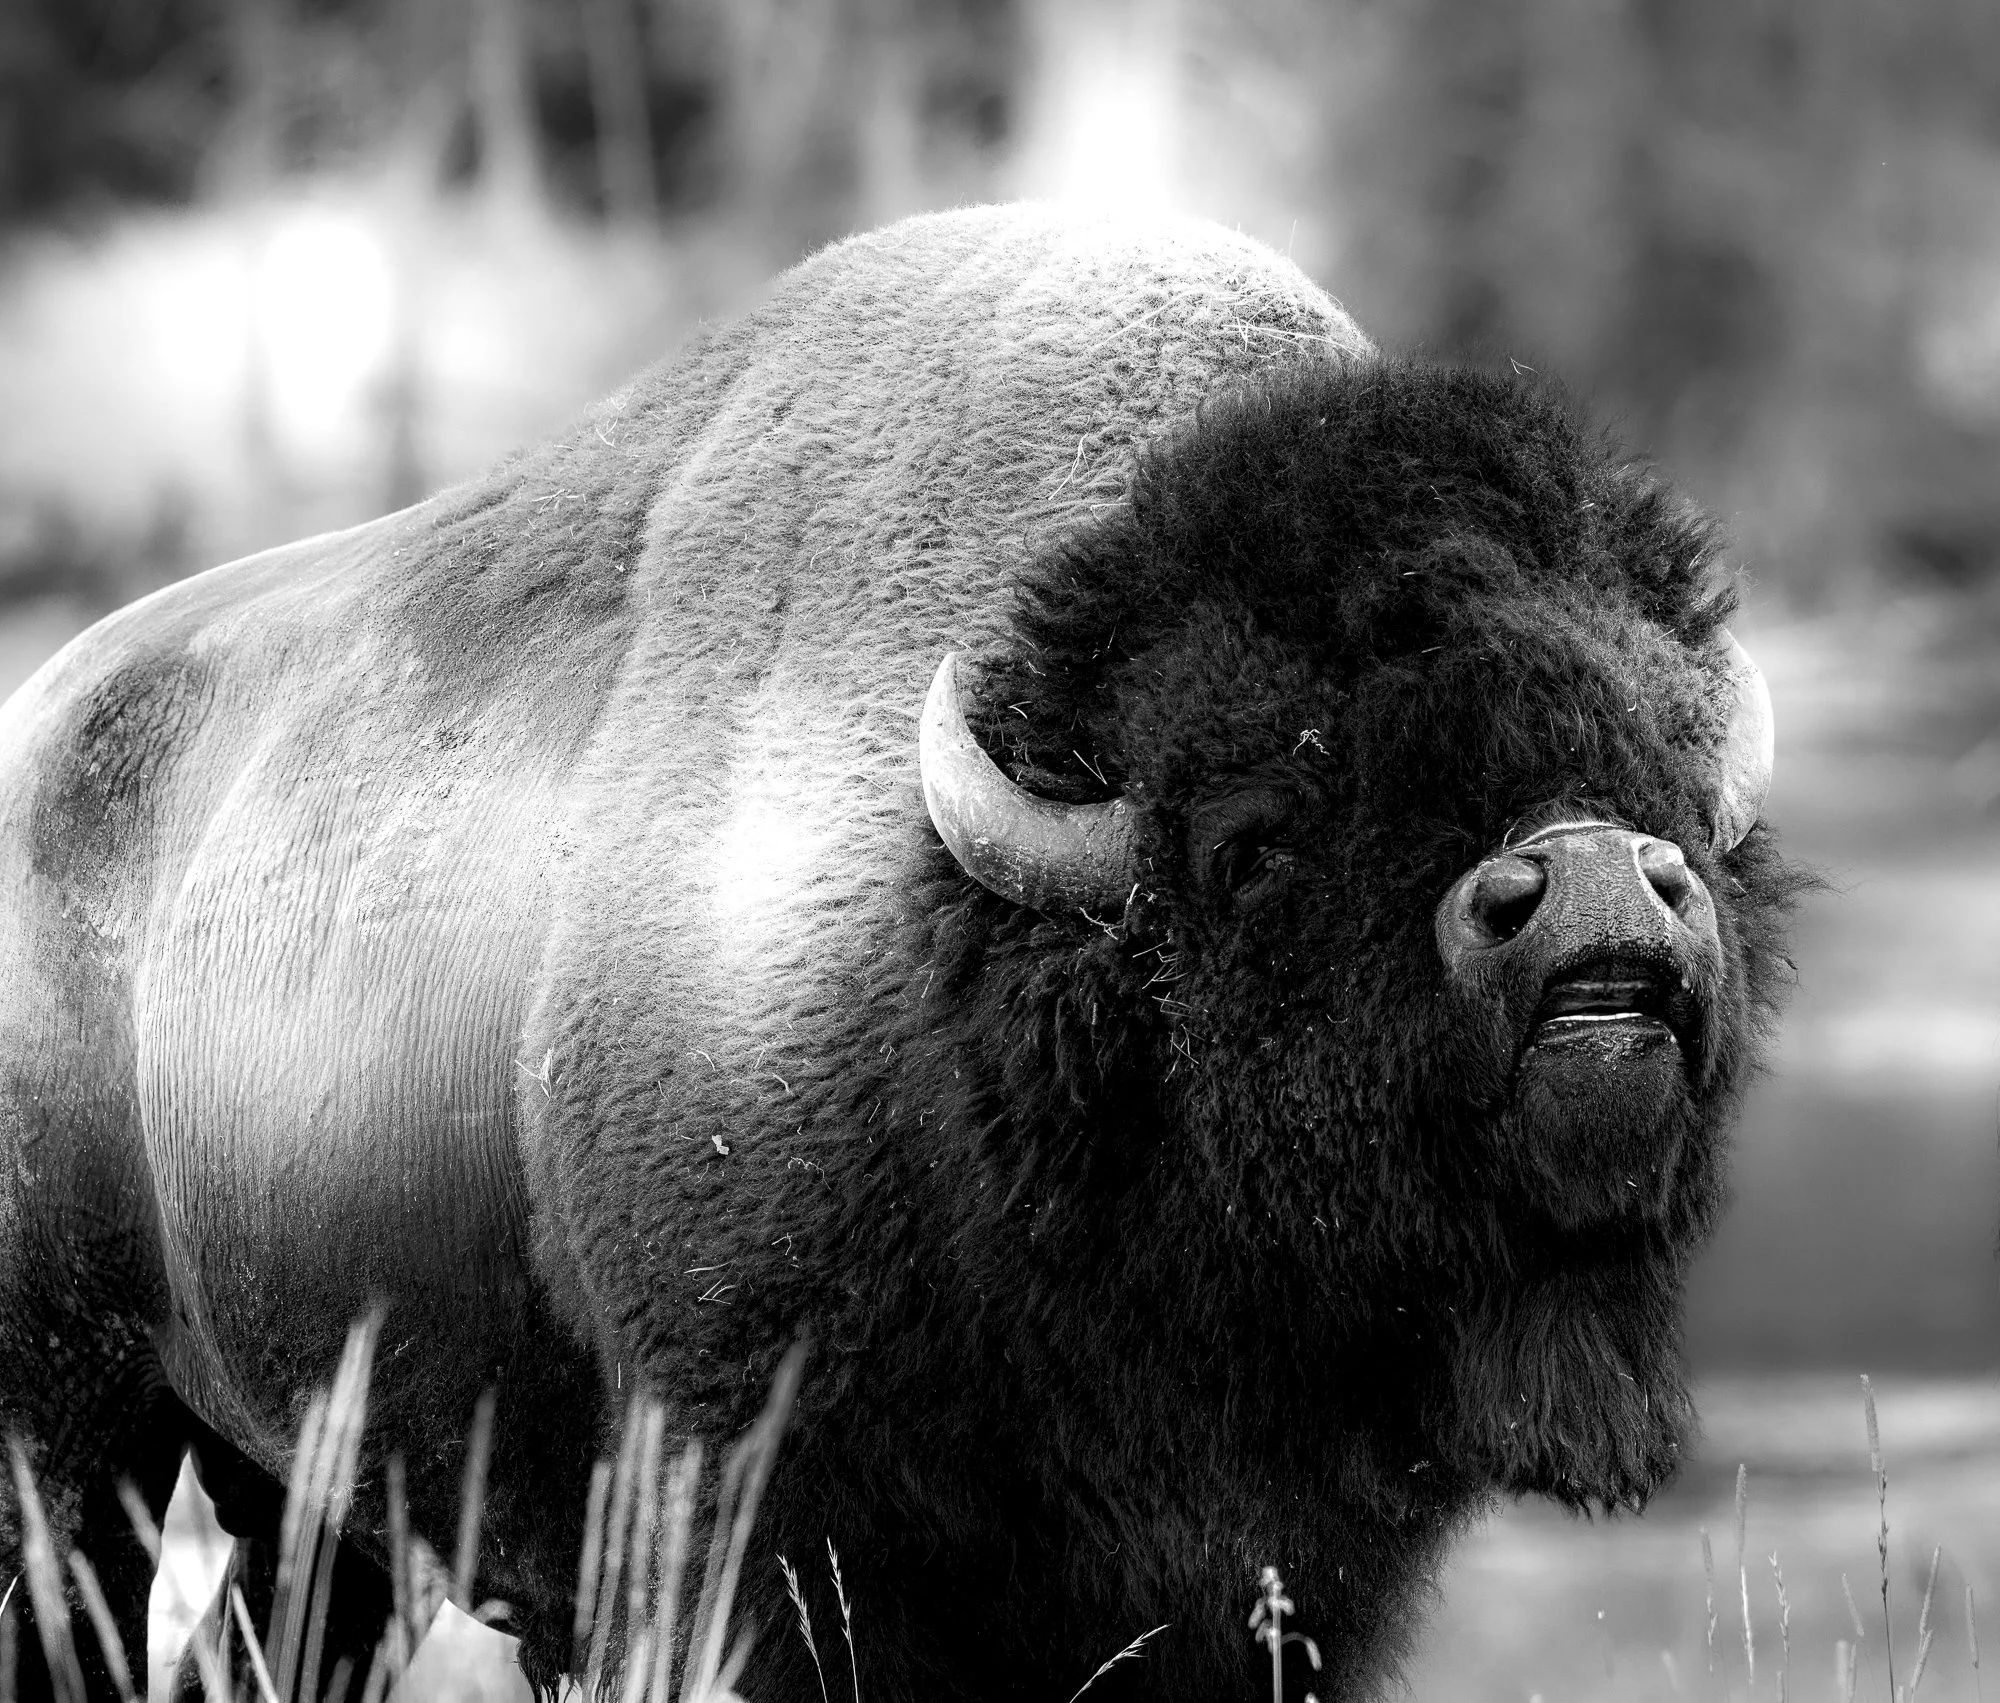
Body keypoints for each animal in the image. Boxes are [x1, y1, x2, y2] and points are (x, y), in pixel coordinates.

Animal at [0, 204, 1799, 1701]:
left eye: (1668, 786)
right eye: (1251, 840)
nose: (1594, 885)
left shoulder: (1291, 1579)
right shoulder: (770, 1530)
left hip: (302, 1490)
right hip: (68, 1440)